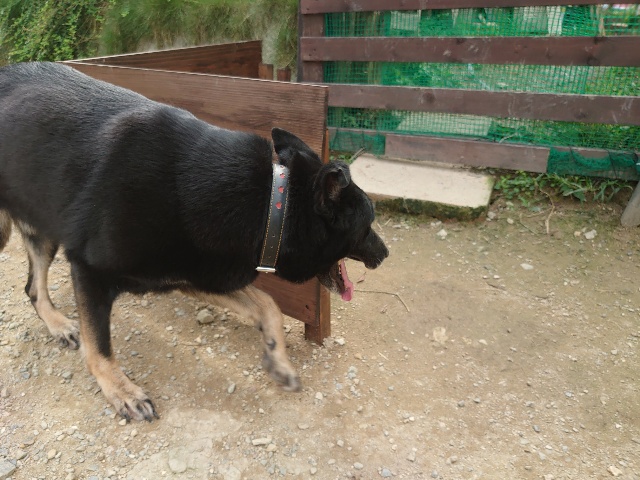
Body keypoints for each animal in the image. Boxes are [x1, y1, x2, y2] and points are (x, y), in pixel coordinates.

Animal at [0, 62, 388, 421]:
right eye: (368, 223)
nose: (384, 253)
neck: (270, 204)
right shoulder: (90, 269)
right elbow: (99, 348)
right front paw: (121, 391)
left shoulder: (195, 275)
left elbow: (267, 305)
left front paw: (278, 359)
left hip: (41, 228)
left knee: (33, 288)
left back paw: (58, 324)